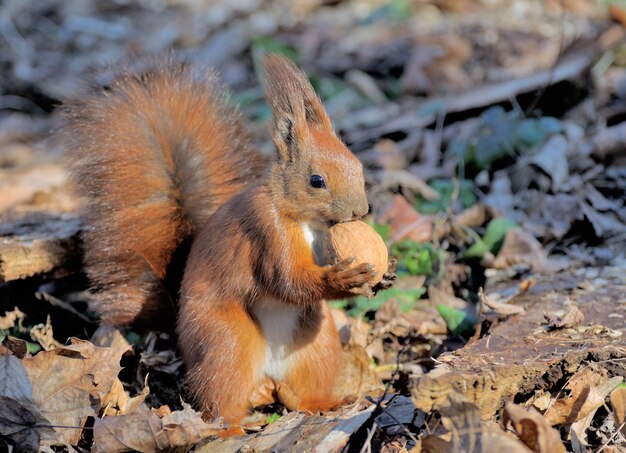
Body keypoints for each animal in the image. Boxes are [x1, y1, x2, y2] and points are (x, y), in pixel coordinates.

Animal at [62, 55, 386, 424]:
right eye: (316, 181)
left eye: (358, 167)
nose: (361, 210)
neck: (307, 222)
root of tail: (268, 376)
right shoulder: (267, 230)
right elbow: (288, 280)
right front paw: (343, 278)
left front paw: (382, 275)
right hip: (226, 341)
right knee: (221, 398)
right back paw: (231, 427)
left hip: (317, 345)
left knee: (304, 391)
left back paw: (324, 403)